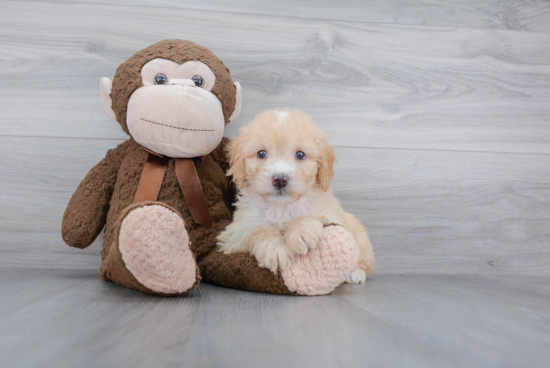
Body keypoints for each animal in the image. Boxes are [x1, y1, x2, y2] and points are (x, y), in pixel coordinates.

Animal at [218, 109, 378, 282]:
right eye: (261, 153)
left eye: (300, 155)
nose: (280, 179)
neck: (281, 207)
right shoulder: (234, 234)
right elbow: (260, 230)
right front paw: (274, 250)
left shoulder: (330, 215)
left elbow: (308, 217)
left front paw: (301, 232)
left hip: (359, 235)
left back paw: (356, 273)